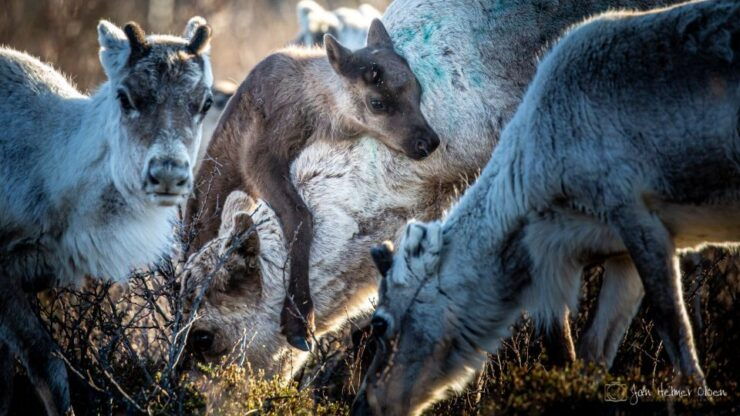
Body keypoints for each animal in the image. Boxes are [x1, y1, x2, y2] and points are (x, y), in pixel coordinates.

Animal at [185, 19, 439, 352]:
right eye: (377, 102)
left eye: (417, 88)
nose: (428, 142)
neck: (318, 108)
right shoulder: (261, 156)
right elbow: (300, 217)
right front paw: (299, 322)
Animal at [353, 0, 740, 414]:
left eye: (380, 322)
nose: (363, 404)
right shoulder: (620, 253)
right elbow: (591, 355)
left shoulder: (640, 218)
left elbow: (680, 347)